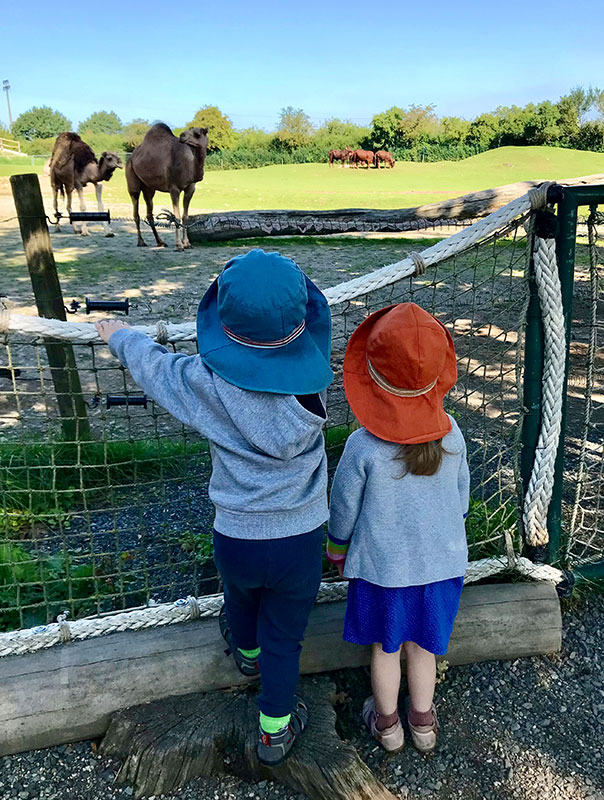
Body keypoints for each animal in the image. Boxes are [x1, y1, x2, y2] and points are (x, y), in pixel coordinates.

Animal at [125, 122, 208, 250]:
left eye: (197, 134)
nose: (182, 135)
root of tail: (131, 157)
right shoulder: (174, 188)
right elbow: (176, 217)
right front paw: (179, 245)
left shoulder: (190, 188)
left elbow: (185, 217)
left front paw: (187, 243)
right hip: (132, 180)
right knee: (136, 210)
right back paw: (141, 242)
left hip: (149, 188)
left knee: (149, 213)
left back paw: (160, 242)